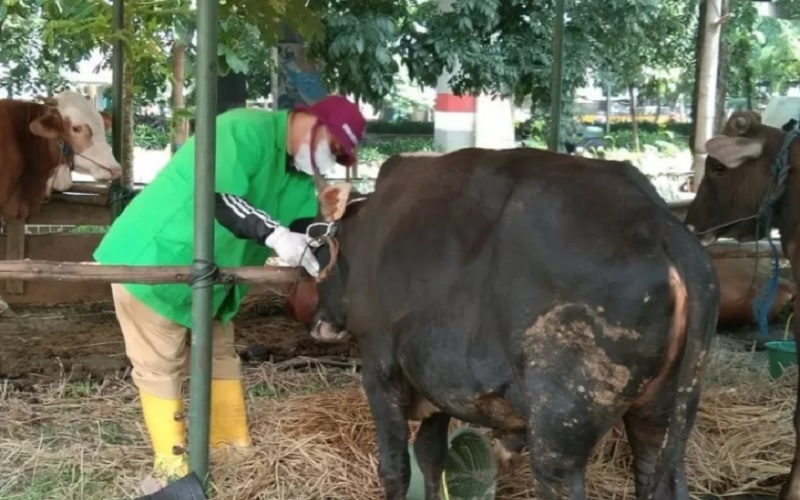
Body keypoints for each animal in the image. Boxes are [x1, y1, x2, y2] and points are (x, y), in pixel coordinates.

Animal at [298, 148, 720, 500]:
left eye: (317, 250)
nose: (319, 324)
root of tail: (661, 226)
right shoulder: (436, 380)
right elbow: (431, 457)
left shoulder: (379, 365)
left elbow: (395, 468)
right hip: (660, 414)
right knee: (661, 479)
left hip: (559, 431)